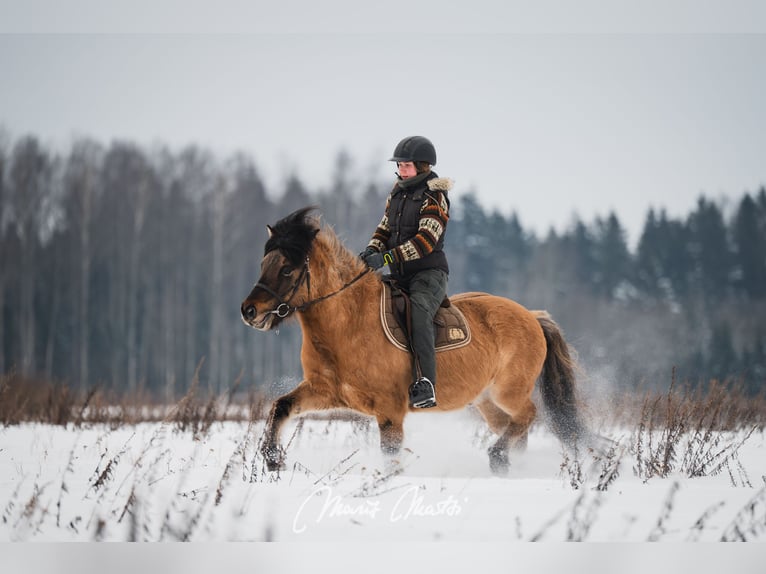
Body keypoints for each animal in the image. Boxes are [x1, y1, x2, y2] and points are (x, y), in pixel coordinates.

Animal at [241, 207, 587, 475]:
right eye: (263, 264)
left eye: (287, 269)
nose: (249, 311)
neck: (349, 325)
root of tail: (531, 316)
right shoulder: (326, 391)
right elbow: (281, 407)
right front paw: (273, 460)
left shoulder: (390, 410)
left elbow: (390, 456)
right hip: (486, 399)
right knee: (513, 426)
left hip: (509, 390)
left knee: (528, 415)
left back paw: (499, 458)